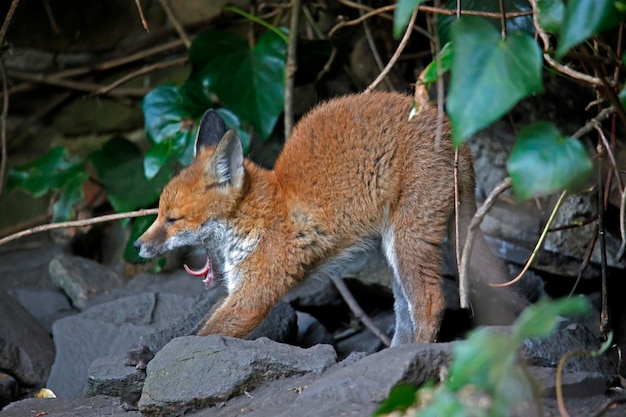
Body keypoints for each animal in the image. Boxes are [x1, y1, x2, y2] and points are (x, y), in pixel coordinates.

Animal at [135, 91, 520, 344]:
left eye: (172, 219)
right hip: (395, 252)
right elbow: (193, 330)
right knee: (406, 315)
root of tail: (456, 133)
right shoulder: (237, 290)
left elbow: (196, 337)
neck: (258, 217)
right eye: (159, 212)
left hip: (409, 241)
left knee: (430, 304)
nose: (138, 246)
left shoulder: (255, 295)